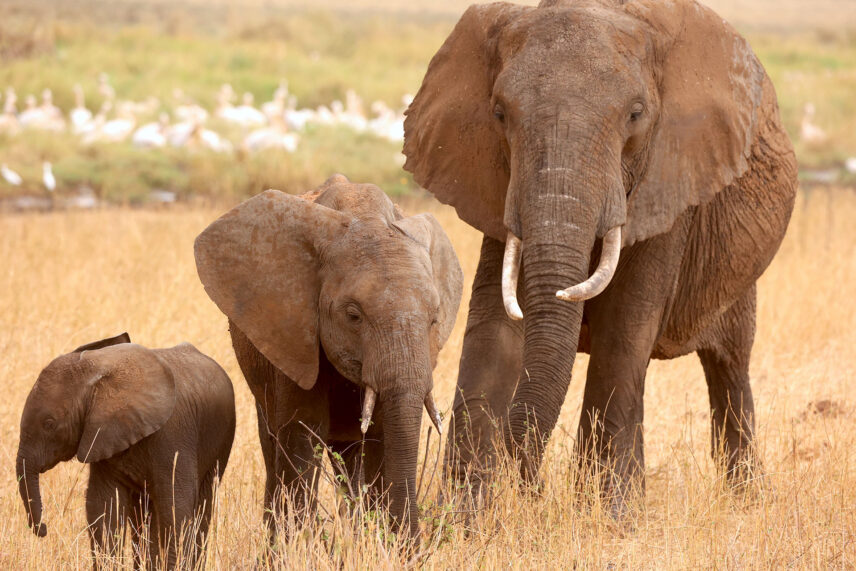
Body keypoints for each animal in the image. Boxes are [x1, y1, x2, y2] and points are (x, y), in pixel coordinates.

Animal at [16, 332, 236, 569]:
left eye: (49, 424)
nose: (43, 529)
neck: (96, 372)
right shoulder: (103, 436)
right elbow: (103, 506)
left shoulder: (174, 434)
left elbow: (176, 504)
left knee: (201, 504)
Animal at [194, 174, 463, 538]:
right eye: (353, 316)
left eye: (434, 318)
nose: (412, 543)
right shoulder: (294, 333)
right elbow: (302, 436)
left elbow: (380, 438)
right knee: (274, 445)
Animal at [402, 0, 798, 514]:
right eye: (499, 114)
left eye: (636, 114)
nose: (531, 489)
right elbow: (494, 327)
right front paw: (465, 517)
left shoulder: (671, 182)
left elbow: (624, 328)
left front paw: (611, 516)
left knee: (729, 365)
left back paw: (749, 500)